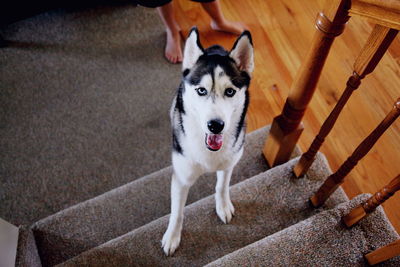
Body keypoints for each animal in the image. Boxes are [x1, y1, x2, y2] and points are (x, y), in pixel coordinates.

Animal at [162, 27, 253, 258]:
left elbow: (221, 186)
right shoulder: (181, 177)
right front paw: (172, 237)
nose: (215, 125)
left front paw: (223, 206)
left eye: (230, 91)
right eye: (201, 90)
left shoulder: (229, 163)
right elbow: (177, 212)